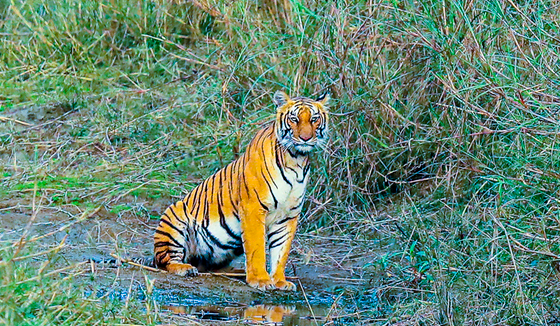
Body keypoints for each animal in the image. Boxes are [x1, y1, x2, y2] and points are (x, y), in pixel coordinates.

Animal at [153, 90, 328, 292]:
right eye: (294, 119)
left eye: (314, 119)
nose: (306, 138)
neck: (296, 159)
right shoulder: (253, 209)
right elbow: (257, 249)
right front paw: (260, 280)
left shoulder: (288, 217)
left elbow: (280, 252)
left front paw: (279, 281)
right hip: (173, 219)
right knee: (166, 260)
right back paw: (185, 268)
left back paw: (236, 272)